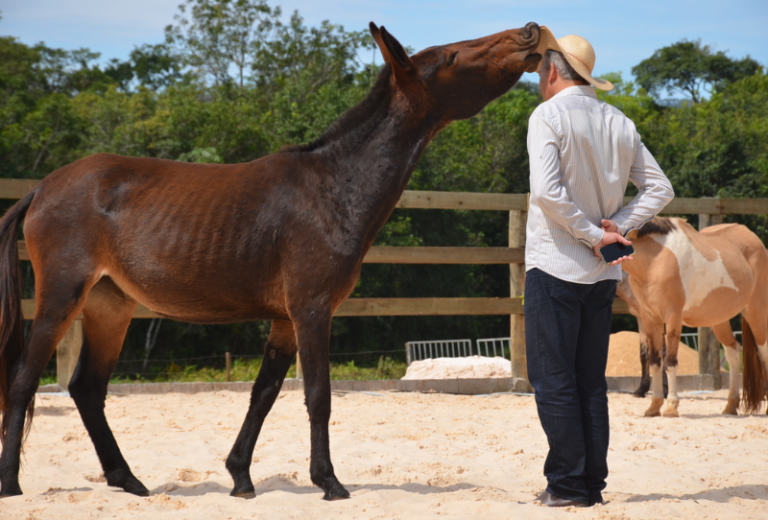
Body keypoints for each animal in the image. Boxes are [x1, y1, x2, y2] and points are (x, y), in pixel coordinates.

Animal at [0, 22, 544, 498]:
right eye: (451, 57)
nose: (529, 33)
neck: (334, 185)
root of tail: (43, 188)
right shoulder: (312, 310)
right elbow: (318, 396)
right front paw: (329, 482)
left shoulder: (285, 320)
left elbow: (262, 395)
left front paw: (241, 477)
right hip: (61, 299)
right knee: (25, 381)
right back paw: (12, 485)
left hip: (110, 307)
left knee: (87, 389)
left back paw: (128, 481)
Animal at [620, 217, 768, 416]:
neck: (655, 259)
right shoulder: (649, 319)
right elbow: (655, 362)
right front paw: (654, 407)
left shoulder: (673, 317)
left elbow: (670, 362)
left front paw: (671, 406)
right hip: (719, 319)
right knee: (733, 352)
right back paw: (730, 406)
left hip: (756, 312)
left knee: (763, 352)